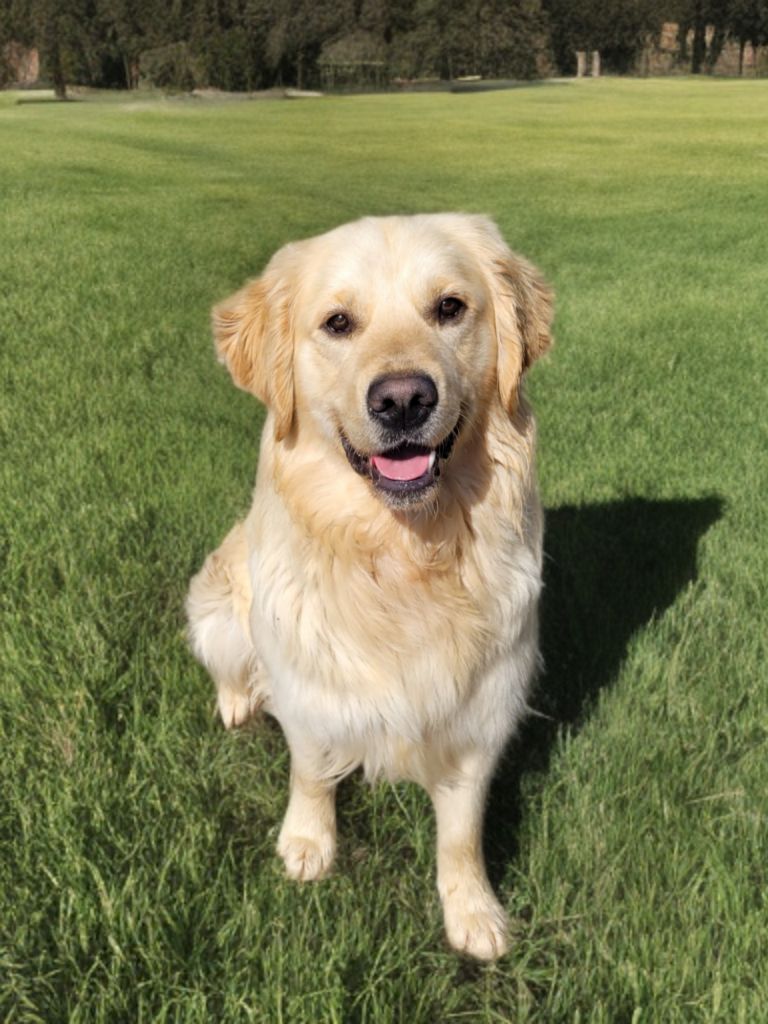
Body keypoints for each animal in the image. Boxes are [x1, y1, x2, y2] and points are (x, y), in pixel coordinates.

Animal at [186, 211, 552, 954]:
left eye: (449, 308)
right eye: (338, 323)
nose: (404, 400)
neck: (401, 556)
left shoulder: (481, 712)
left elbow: (462, 833)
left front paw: (473, 912)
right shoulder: (309, 689)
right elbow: (309, 773)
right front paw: (307, 843)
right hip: (217, 608)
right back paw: (236, 701)